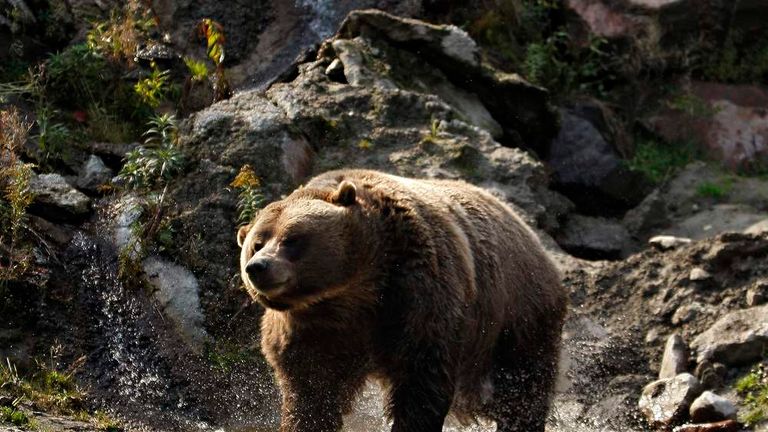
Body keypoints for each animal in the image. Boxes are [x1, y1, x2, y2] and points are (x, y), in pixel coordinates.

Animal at [237, 169, 568, 432]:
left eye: (291, 239)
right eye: (256, 243)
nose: (258, 267)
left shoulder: (418, 295)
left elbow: (421, 383)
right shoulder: (309, 331)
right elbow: (312, 393)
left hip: (517, 313)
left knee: (524, 386)